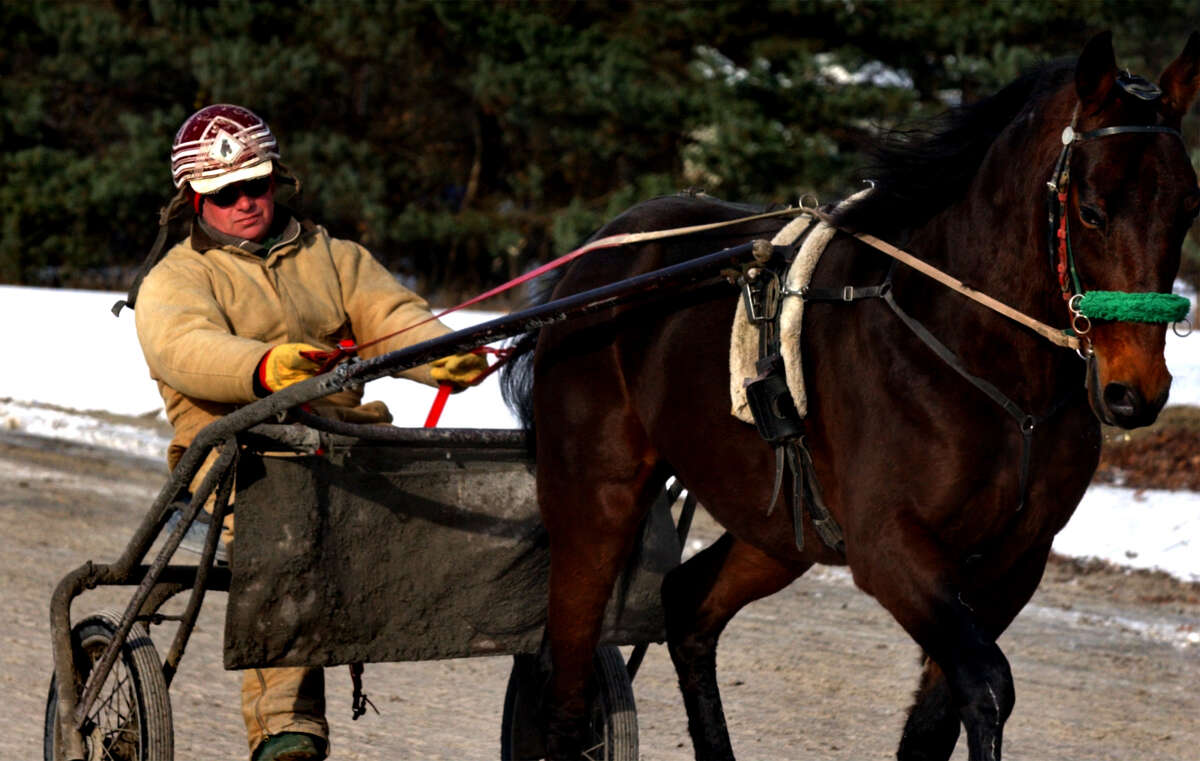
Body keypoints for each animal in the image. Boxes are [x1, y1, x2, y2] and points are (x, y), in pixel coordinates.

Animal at [499, 31, 1200, 758]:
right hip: (596, 496)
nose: (1137, 389)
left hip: (782, 529)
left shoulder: (1015, 560)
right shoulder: (889, 545)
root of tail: (598, 256)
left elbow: (939, 715)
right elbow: (986, 683)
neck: (988, 364)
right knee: (568, 672)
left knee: (688, 602)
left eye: (1188, 207)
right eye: (1091, 209)